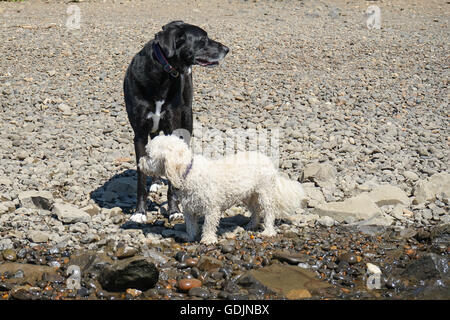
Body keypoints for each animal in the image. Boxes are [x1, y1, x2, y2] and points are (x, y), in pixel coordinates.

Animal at [123, 20, 229, 222]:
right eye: (203, 39)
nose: (227, 49)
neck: (161, 74)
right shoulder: (139, 134)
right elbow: (141, 176)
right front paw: (140, 212)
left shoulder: (174, 128)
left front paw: (174, 210)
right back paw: (156, 181)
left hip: (187, 120)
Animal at [139, 136, 304, 245]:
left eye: (148, 155)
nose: (139, 163)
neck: (188, 172)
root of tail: (267, 159)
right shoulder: (188, 209)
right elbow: (191, 225)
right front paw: (190, 237)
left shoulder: (211, 208)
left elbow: (208, 224)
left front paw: (208, 239)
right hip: (248, 195)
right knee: (256, 209)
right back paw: (252, 224)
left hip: (265, 192)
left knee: (269, 211)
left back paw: (268, 231)